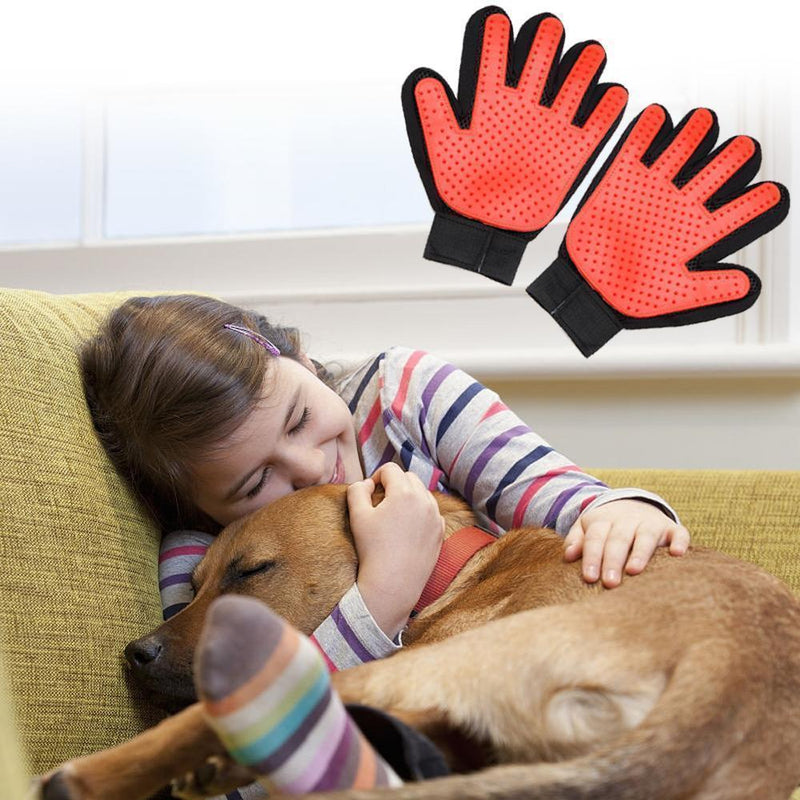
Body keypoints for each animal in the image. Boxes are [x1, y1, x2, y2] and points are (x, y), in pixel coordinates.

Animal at [40, 484, 800, 796]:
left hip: (409, 669)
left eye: (250, 571)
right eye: (193, 582)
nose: (135, 654)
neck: (456, 570)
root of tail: (733, 673)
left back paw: (86, 778)